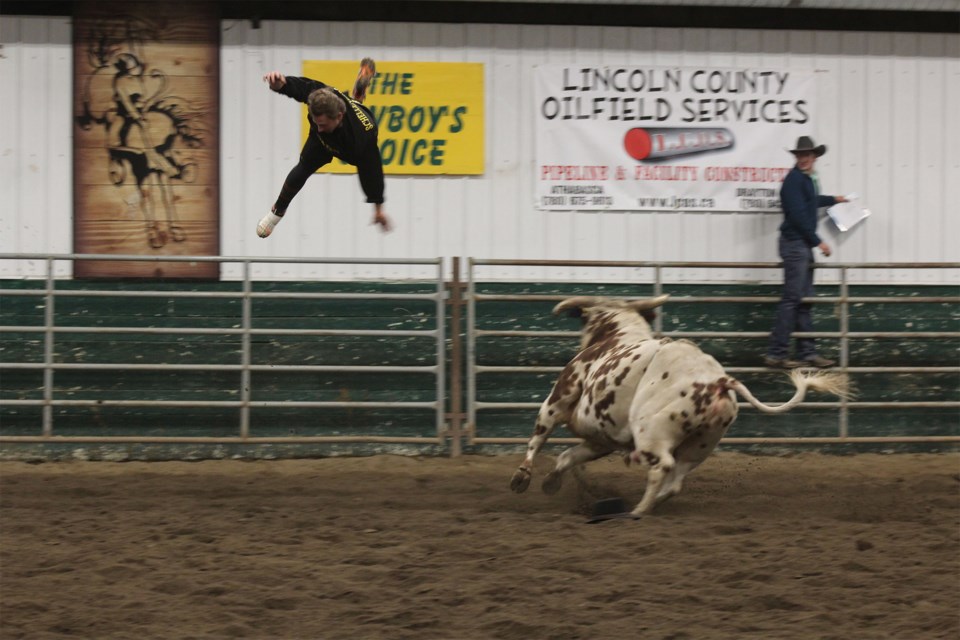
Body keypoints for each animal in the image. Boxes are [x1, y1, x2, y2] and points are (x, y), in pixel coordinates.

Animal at [510, 296, 848, 516]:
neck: (617, 335)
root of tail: (719, 381)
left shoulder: (559, 400)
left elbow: (539, 436)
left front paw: (522, 478)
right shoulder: (600, 440)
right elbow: (567, 457)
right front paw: (551, 482)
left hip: (651, 432)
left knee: (662, 467)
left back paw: (639, 510)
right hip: (700, 445)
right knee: (675, 480)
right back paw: (651, 503)